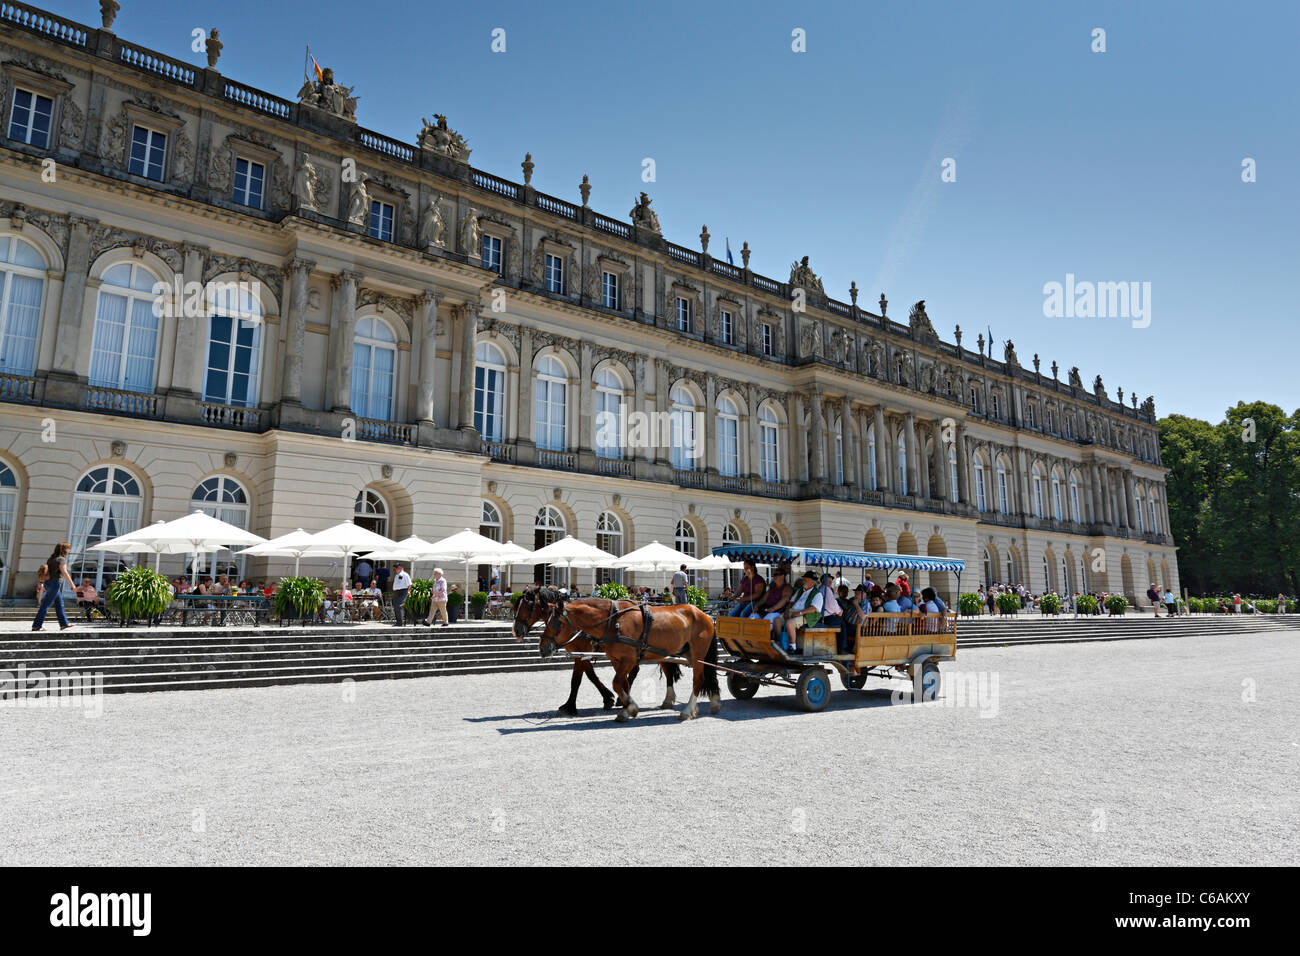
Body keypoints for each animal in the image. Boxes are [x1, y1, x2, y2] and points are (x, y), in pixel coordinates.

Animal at [512, 587, 722, 723]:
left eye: (557, 623)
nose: (516, 630)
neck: (611, 621)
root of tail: (704, 614)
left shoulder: (617, 658)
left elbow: (584, 680)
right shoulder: (615, 659)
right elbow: (620, 683)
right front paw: (624, 705)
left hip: (696, 656)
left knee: (698, 679)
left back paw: (687, 710)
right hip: (671, 652)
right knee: (685, 674)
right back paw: (700, 700)